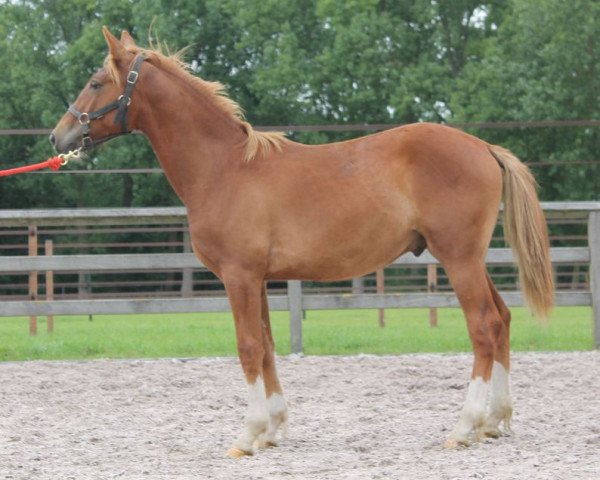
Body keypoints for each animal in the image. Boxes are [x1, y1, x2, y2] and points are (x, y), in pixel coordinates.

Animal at [50, 27, 552, 458]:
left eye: (95, 82)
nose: (58, 136)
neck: (223, 168)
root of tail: (484, 147)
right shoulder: (259, 280)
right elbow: (268, 346)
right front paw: (272, 429)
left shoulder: (238, 277)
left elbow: (248, 347)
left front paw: (248, 435)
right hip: (471, 260)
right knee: (503, 319)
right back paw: (494, 421)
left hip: (458, 258)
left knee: (484, 326)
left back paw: (464, 427)